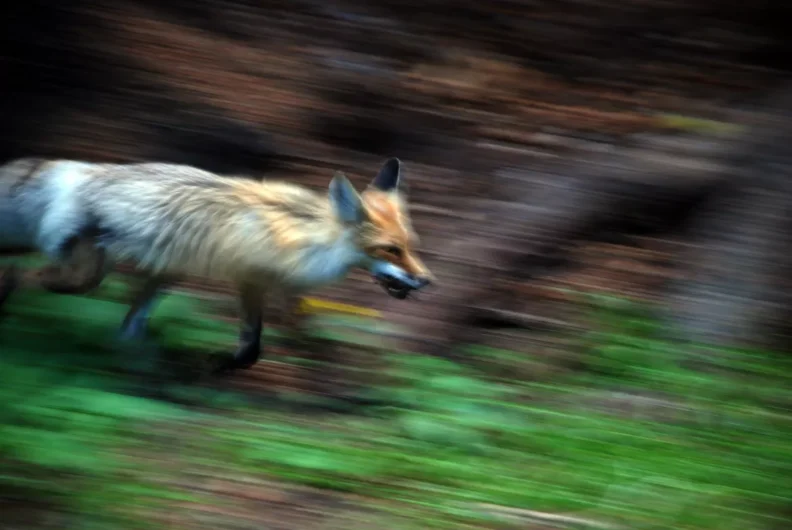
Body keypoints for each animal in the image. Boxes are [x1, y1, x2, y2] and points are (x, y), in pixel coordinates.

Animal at [0, 156, 434, 370]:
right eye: (390, 250)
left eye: (410, 247)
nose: (427, 280)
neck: (304, 235)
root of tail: (75, 170)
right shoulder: (249, 278)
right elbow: (255, 343)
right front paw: (220, 365)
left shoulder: (250, 280)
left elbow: (264, 340)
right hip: (85, 273)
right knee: (30, 277)